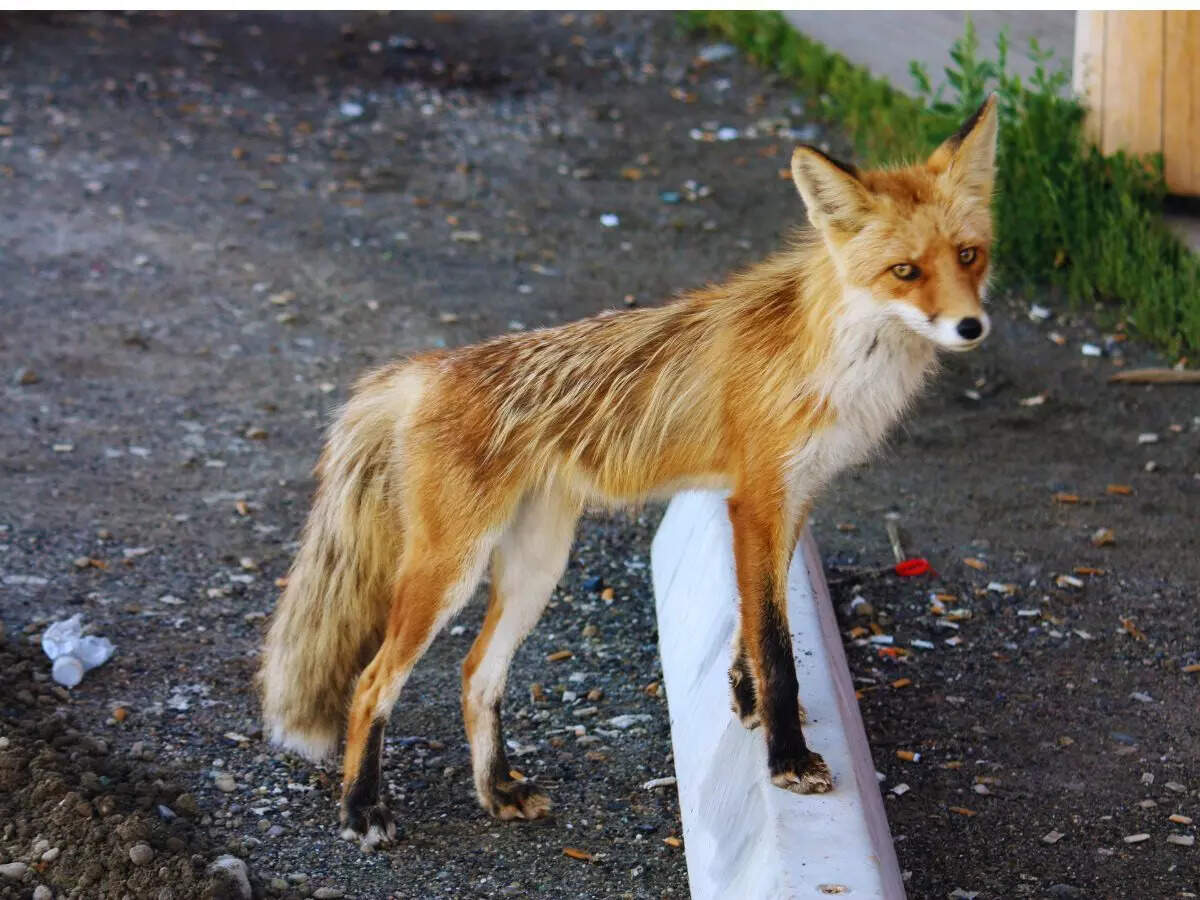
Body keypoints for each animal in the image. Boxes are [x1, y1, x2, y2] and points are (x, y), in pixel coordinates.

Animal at [258, 94, 998, 849]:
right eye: (905, 271)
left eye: (968, 255)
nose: (971, 328)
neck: (838, 356)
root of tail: (423, 369)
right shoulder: (756, 500)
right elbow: (776, 648)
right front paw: (787, 758)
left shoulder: (792, 500)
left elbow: (756, 627)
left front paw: (744, 700)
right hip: (448, 568)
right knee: (372, 683)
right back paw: (362, 807)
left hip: (537, 565)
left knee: (475, 674)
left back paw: (495, 790)